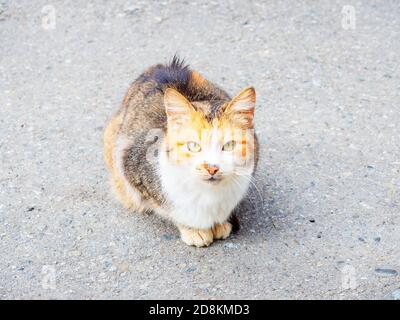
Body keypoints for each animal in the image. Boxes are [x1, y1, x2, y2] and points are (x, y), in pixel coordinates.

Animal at [104, 57, 260, 248]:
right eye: (193, 146)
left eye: (229, 145)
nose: (211, 168)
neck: (208, 194)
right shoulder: (129, 163)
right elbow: (173, 210)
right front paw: (194, 229)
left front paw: (221, 223)